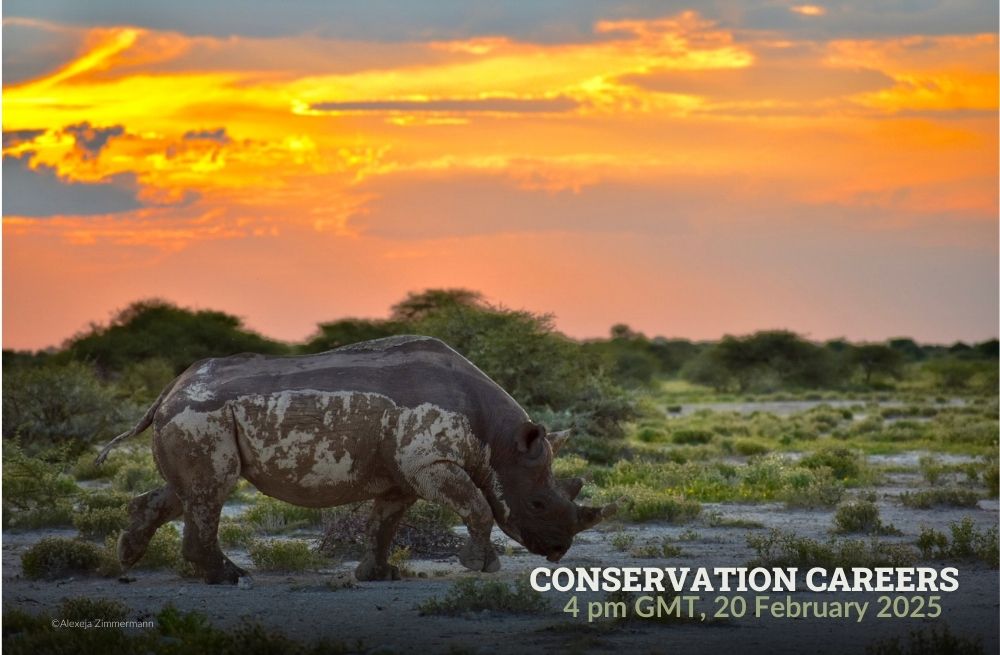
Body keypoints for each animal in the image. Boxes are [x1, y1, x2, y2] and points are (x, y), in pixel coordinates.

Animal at [101, 336, 616, 580]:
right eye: (538, 504)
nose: (558, 550)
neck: (500, 442)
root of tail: (169, 389)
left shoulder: (404, 475)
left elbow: (384, 523)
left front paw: (380, 575)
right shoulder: (429, 464)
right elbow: (478, 506)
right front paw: (480, 567)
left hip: (193, 415)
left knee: (187, 491)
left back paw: (127, 560)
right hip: (202, 416)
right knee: (212, 490)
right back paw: (232, 579)